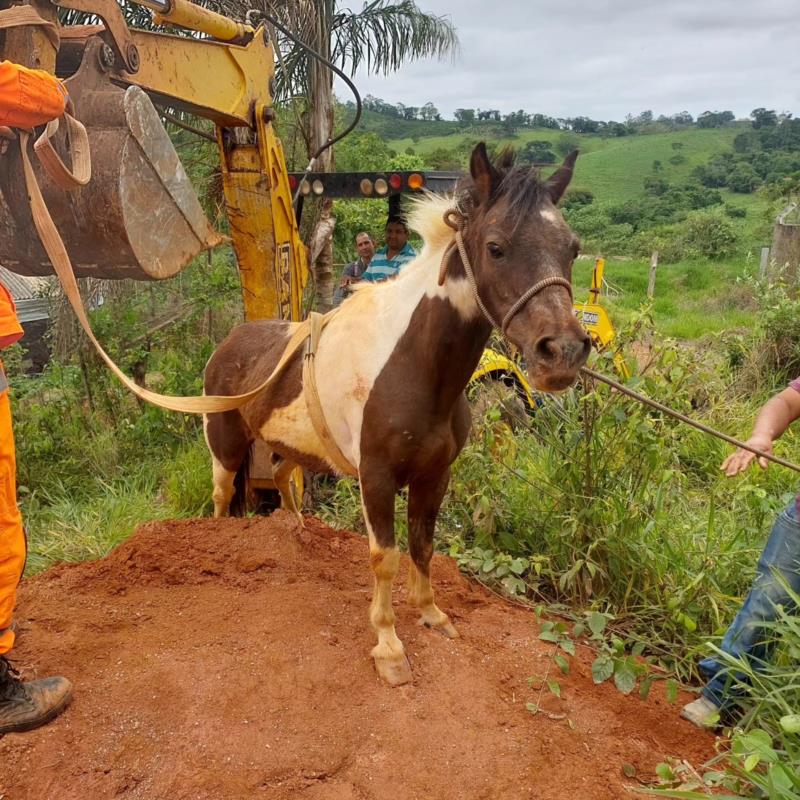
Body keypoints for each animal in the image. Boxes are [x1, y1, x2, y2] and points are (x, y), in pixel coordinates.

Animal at [202, 142, 588, 680]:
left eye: (572, 248)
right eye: (496, 247)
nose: (563, 352)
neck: (412, 364)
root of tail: (230, 340)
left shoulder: (435, 475)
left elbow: (423, 544)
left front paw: (431, 613)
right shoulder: (377, 476)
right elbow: (383, 556)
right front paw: (387, 644)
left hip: (286, 446)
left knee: (280, 479)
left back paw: (295, 535)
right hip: (225, 442)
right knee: (221, 497)